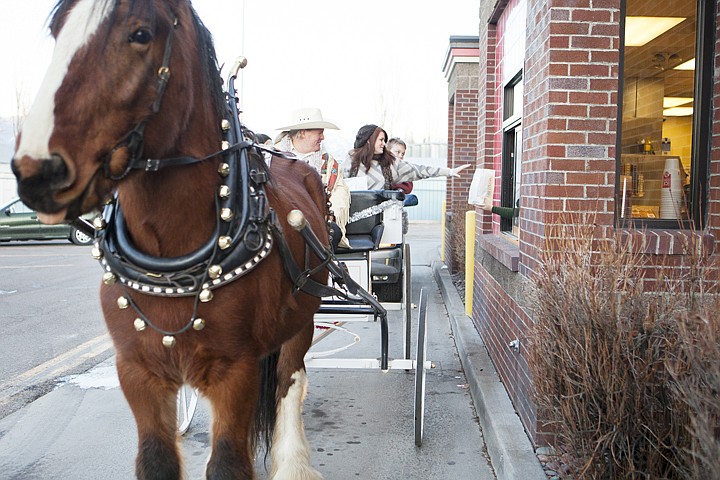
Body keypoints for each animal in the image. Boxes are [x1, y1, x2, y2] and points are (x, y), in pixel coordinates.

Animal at [9, 1, 330, 478]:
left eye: (141, 34)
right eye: (56, 33)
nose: (37, 171)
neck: (170, 257)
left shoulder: (236, 371)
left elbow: (227, 462)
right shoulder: (137, 372)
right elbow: (155, 460)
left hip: (302, 320)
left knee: (290, 383)